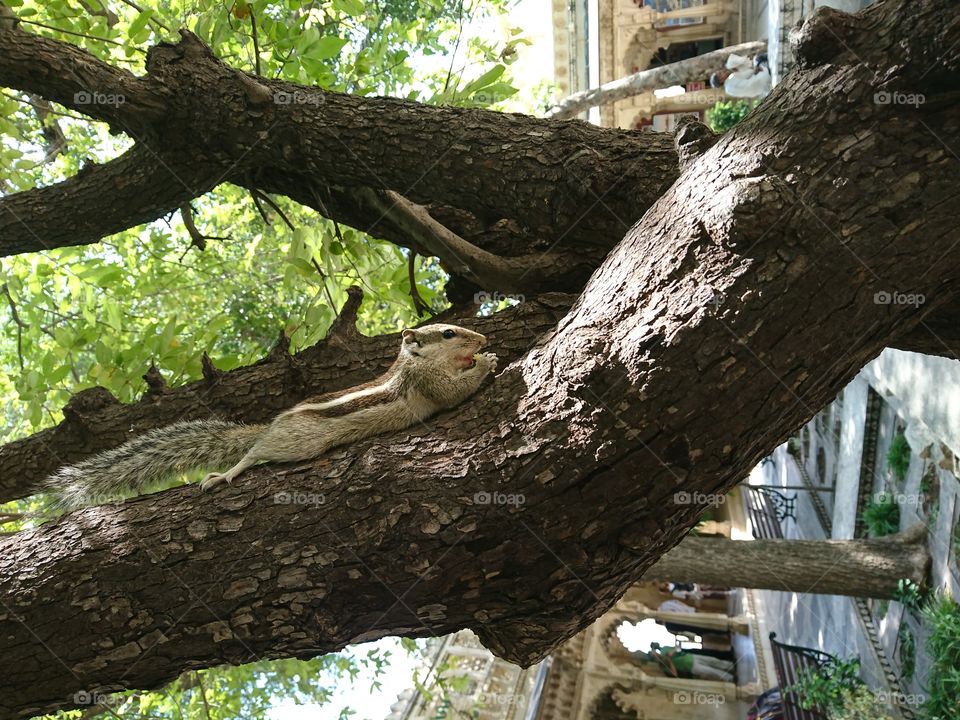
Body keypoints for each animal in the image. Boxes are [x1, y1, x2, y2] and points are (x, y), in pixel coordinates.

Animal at [45, 324, 498, 509]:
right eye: (449, 333)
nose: (482, 338)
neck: (413, 363)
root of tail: (271, 425)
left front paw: (484, 357)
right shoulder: (428, 383)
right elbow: (453, 393)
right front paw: (486, 364)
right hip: (295, 443)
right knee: (254, 453)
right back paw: (227, 474)